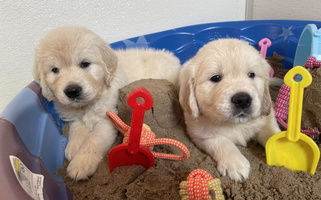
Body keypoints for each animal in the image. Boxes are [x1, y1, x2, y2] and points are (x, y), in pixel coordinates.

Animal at [33, 25, 181, 180]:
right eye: (54, 70)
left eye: (85, 64)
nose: (72, 91)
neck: (87, 104)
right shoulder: (75, 118)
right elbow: (77, 129)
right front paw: (73, 148)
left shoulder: (107, 119)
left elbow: (93, 140)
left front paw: (81, 164)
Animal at [180, 38, 280, 181]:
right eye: (215, 77)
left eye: (251, 74)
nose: (243, 99)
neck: (235, 124)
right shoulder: (201, 134)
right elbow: (222, 142)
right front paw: (235, 164)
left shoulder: (267, 118)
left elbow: (272, 133)